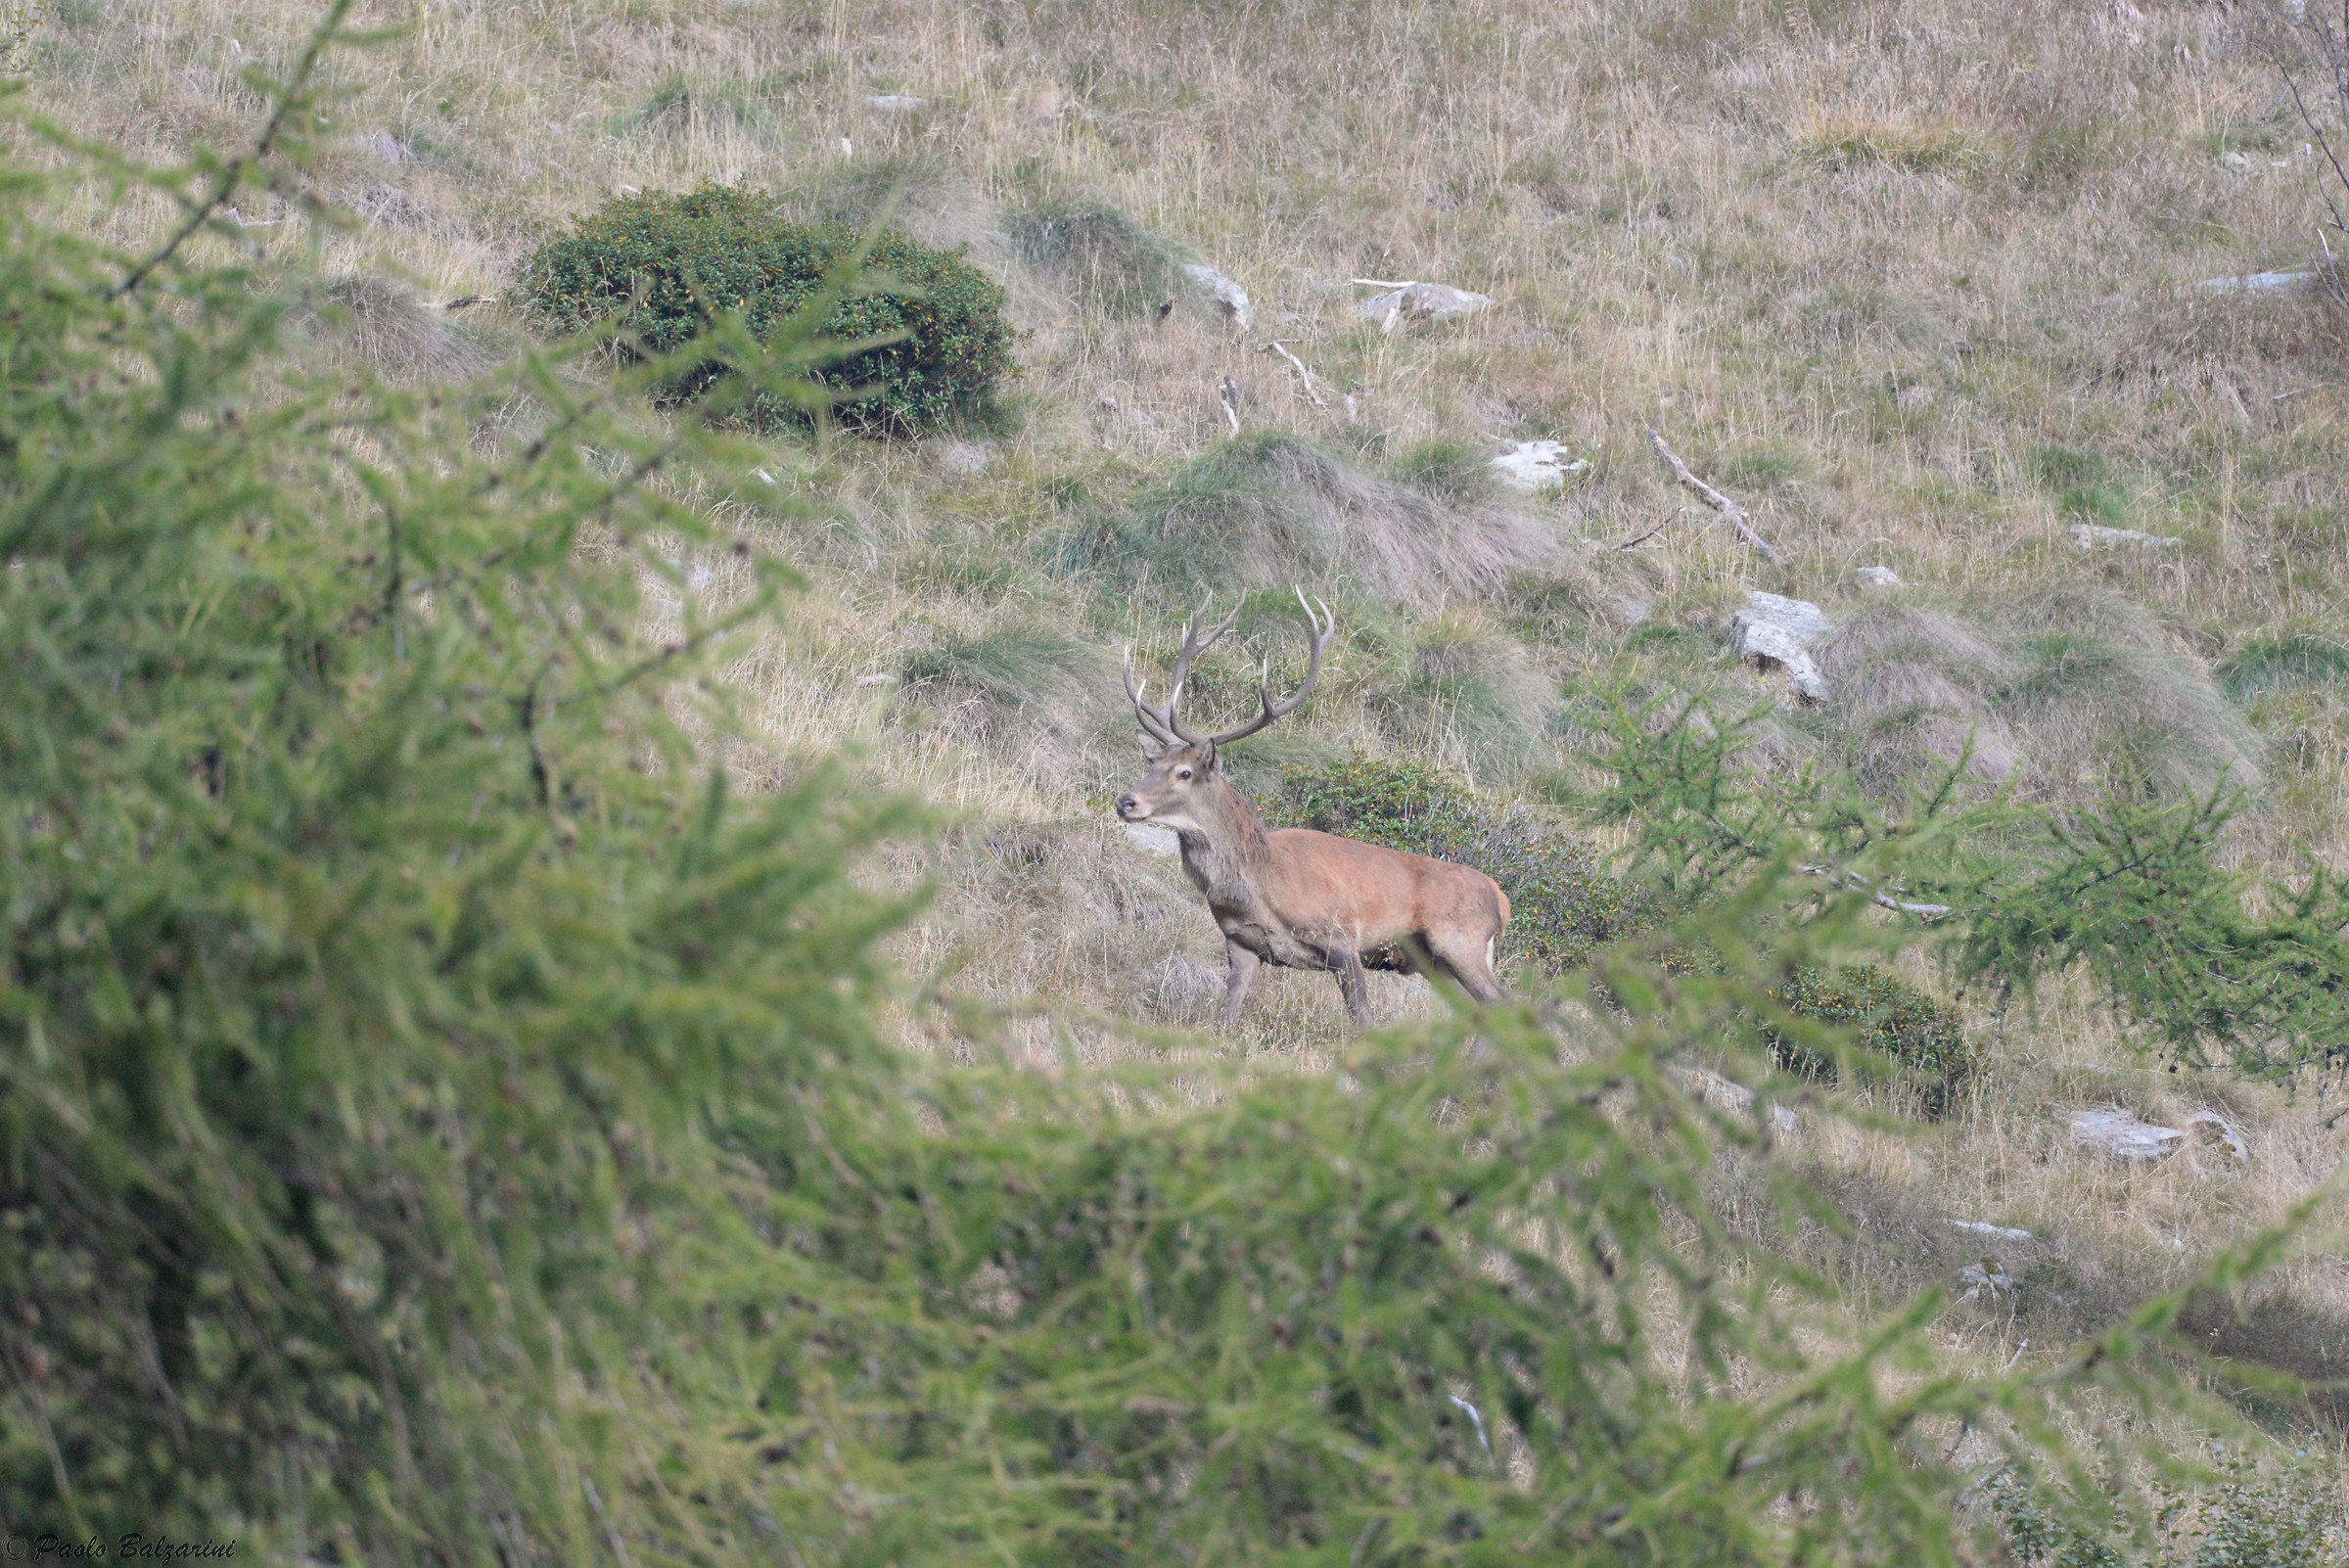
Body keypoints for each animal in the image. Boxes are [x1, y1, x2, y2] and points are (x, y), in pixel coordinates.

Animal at [1115, 590, 1511, 1029]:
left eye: (1185, 772)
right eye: (1153, 765)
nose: (1126, 801)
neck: (1262, 886)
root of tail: (1501, 899)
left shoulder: (1342, 938)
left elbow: (1362, 1018)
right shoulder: (1241, 943)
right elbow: (1227, 1014)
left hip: (1460, 941)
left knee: (1500, 1003)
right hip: (1434, 962)